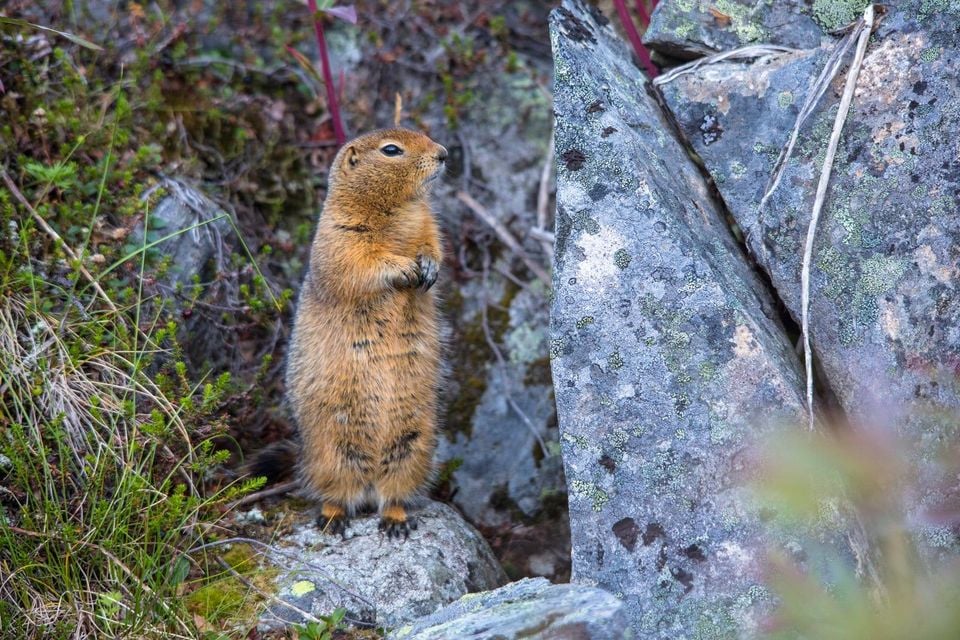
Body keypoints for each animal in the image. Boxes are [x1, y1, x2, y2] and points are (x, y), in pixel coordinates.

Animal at [252, 128, 447, 539]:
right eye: (391, 150)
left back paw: (395, 520)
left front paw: (428, 267)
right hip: (331, 449)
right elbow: (361, 262)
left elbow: (434, 244)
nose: (444, 154)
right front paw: (404, 267)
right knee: (336, 490)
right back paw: (333, 517)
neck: (398, 209)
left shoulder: (428, 223)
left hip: (414, 445)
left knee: (394, 491)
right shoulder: (340, 235)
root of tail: (369, 486)